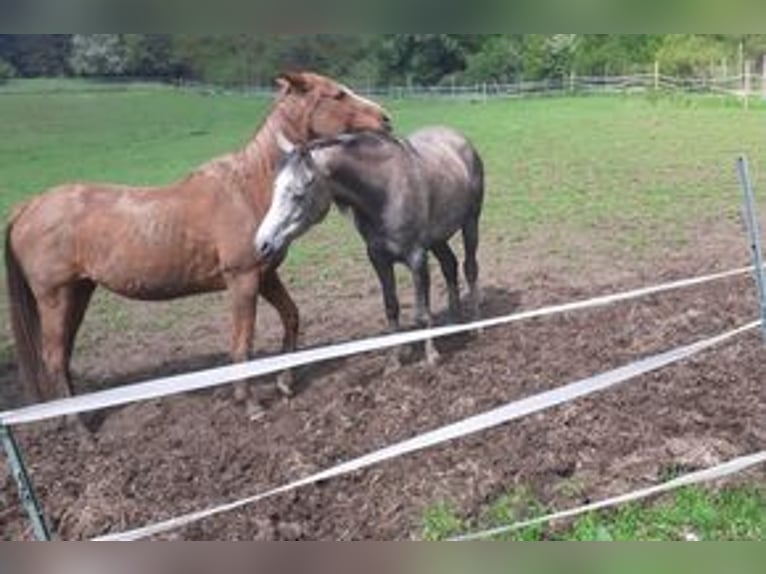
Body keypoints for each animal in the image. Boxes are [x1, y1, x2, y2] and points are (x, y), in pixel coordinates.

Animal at [3, 72, 392, 418]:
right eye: (337, 94)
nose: (385, 119)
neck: (248, 188)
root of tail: (27, 207)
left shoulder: (266, 275)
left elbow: (292, 317)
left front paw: (285, 382)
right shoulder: (243, 279)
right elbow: (242, 346)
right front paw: (249, 404)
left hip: (78, 293)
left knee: (63, 355)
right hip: (56, 297)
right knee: (54, 358)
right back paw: (79, 427)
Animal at [258, 127, 486, 368]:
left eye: (298, 193)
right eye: (274, 188)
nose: (263, 243)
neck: (384, 193)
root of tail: (458, 138)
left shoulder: (416, 257)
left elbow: (422, 312)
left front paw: (431, 355)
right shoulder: (378, 258)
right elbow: (391, 308)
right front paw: (394, 361)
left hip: (470, 222)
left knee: (470, 268)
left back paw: (476, 326)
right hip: (437, 239)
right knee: (449, 265)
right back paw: (454, 323)